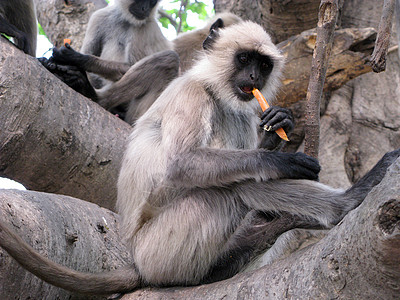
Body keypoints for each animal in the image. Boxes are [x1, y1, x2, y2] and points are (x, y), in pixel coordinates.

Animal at [0, 20, 400, 296]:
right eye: (244, 58)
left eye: (263, 65)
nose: (253, 76)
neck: (213, 89)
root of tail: (136, 260)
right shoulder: (191, 94)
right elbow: (183, 164)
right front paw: (282, 161)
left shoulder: (243, 113)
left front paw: (281, 126)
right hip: (159, 251)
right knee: (230, 190)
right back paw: (347, 201)